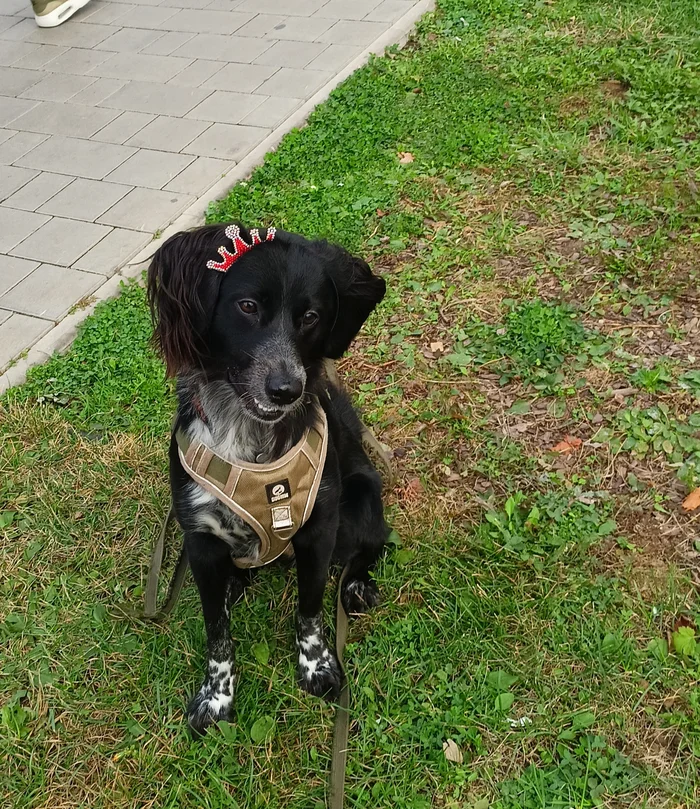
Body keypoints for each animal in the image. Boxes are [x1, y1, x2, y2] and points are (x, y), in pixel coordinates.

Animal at [147, 221, 392, 732]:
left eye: (311, 316)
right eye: (247, 307)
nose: (286, 390)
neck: (250, 439)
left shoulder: (318, 529)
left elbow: (310, 610)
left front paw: (317, 666)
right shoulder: (200, 540)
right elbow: (216, 631)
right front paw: (216, 695)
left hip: (361, 504)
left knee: (371, 546)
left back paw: (357, 585)